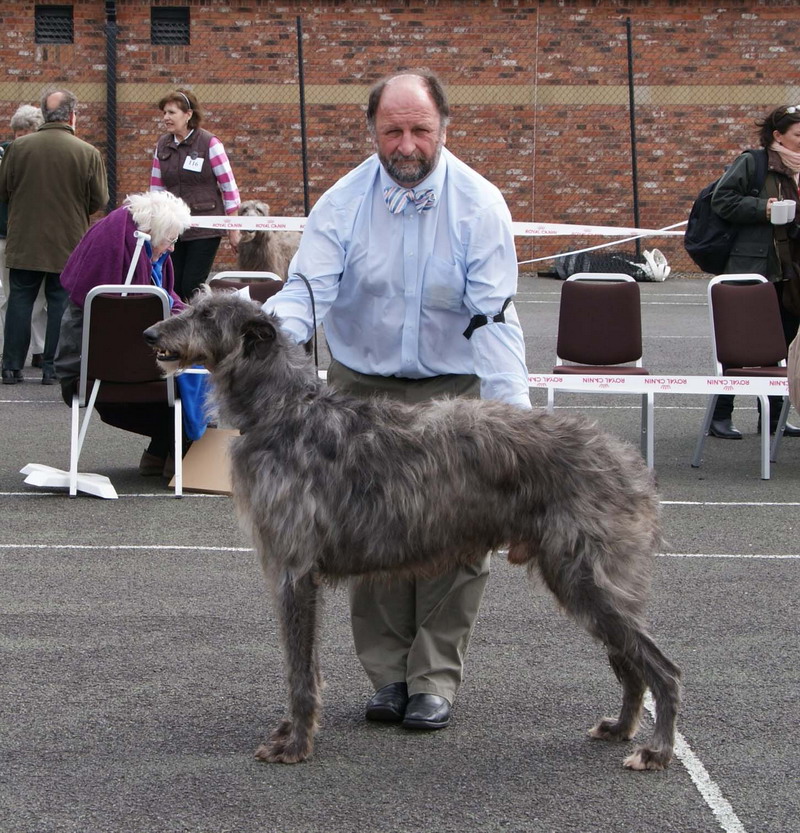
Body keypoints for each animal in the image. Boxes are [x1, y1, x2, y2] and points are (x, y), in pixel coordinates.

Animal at [145, 290, 680, 772]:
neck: (282, 410)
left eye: (207, 315)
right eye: (193, 304)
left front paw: (295, 744)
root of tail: (629, 461)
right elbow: (305, 663)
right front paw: (290, 732)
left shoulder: (294, 571)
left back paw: (656, 750)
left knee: (662, 668)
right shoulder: (296, 572)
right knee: (631, 661)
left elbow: (300, 669)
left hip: (586, 575)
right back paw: (622, 726)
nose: (150, 333)